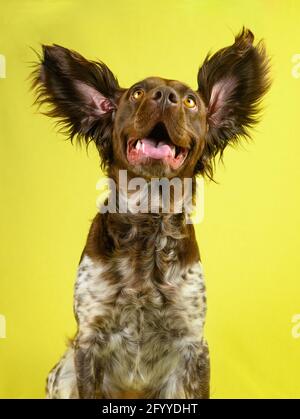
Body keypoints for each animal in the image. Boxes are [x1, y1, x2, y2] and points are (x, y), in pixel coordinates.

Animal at [31, 27, 270, 398]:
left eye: (190, 101)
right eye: (138, 93)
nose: (165, 96)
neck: (147, 221)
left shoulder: (193, 345)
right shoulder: (88, 343)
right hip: (63, 372)